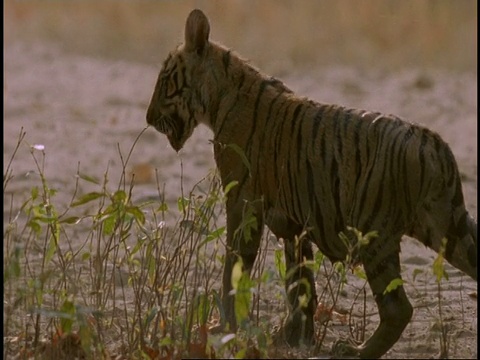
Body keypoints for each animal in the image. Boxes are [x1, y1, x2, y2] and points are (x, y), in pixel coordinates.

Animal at [146, 9, 476, 360]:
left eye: (164, 81)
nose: (148, 118)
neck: (219, 95)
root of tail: (432, 144)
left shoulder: (242, 201)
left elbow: (234, 267)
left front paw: (225, 328)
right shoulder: (293, 222)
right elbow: (300, 283)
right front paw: (293, 336)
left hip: (376, 233)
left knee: (398, 308)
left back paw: (354, 351)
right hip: (448, 227)